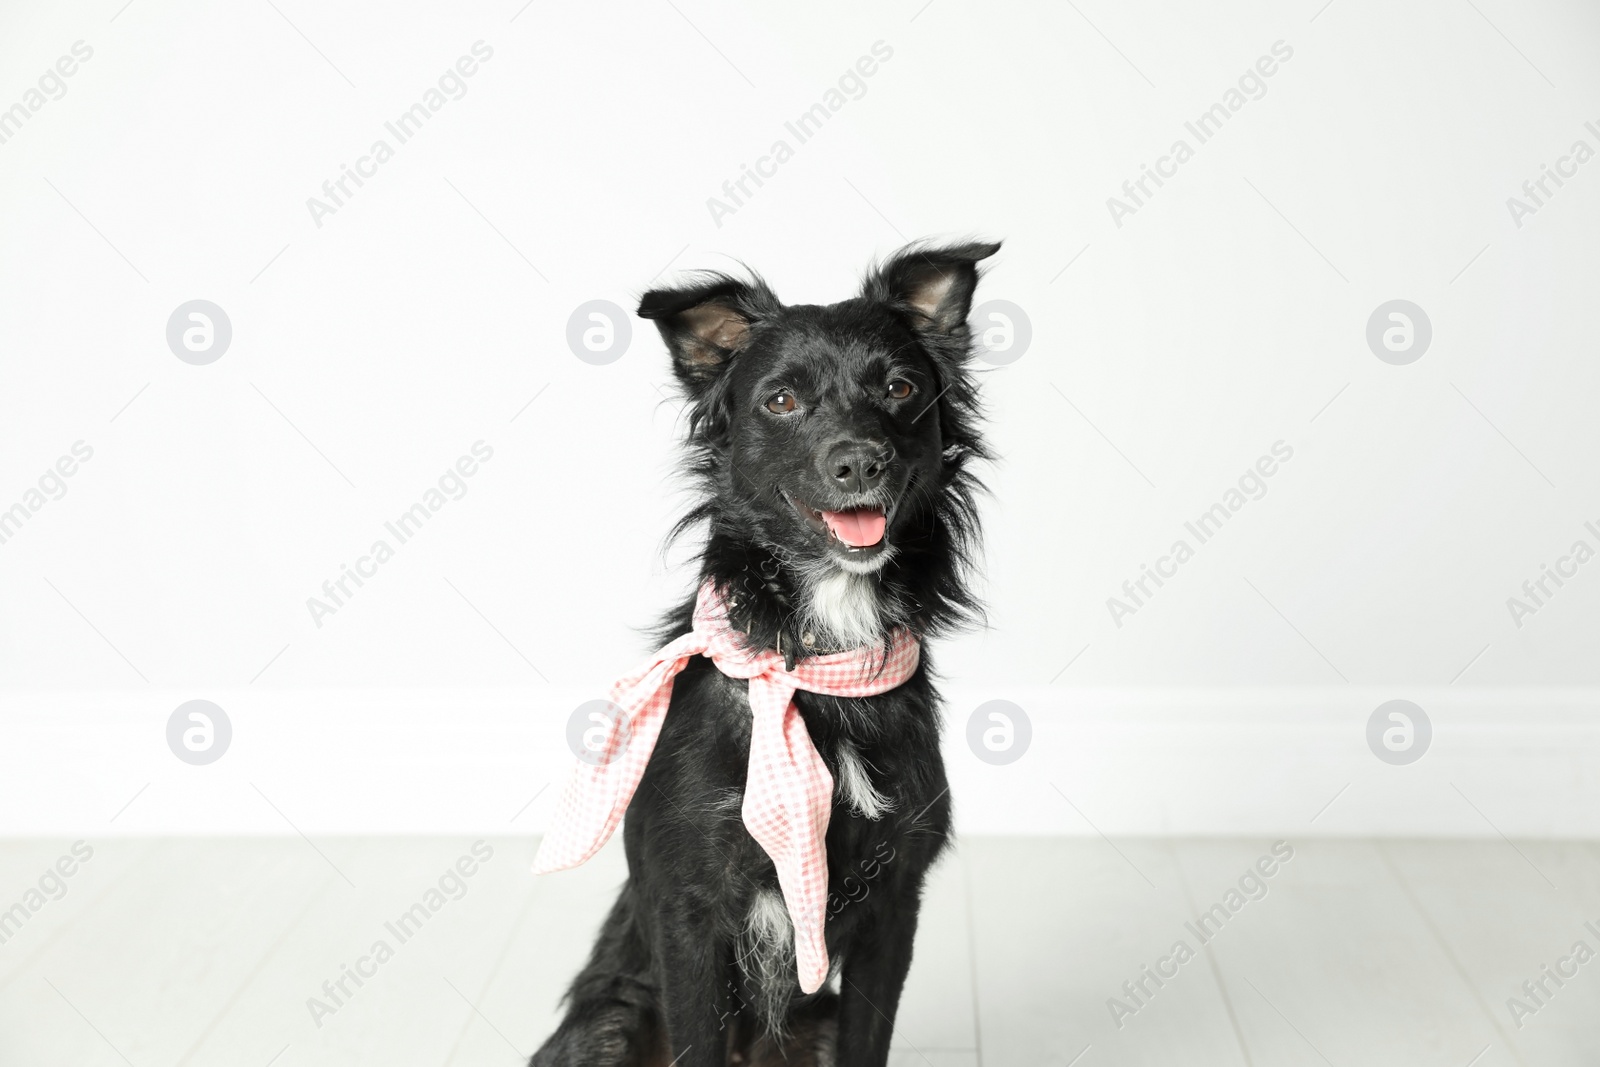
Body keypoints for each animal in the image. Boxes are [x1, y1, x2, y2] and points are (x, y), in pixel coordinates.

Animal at [531, 239, 992, 1067]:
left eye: (901, 388)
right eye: (780, 401)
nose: (860, 461)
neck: (812, 660)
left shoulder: (893, 906)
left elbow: (868, 1041)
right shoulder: (690, 911)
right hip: (608, 1023)